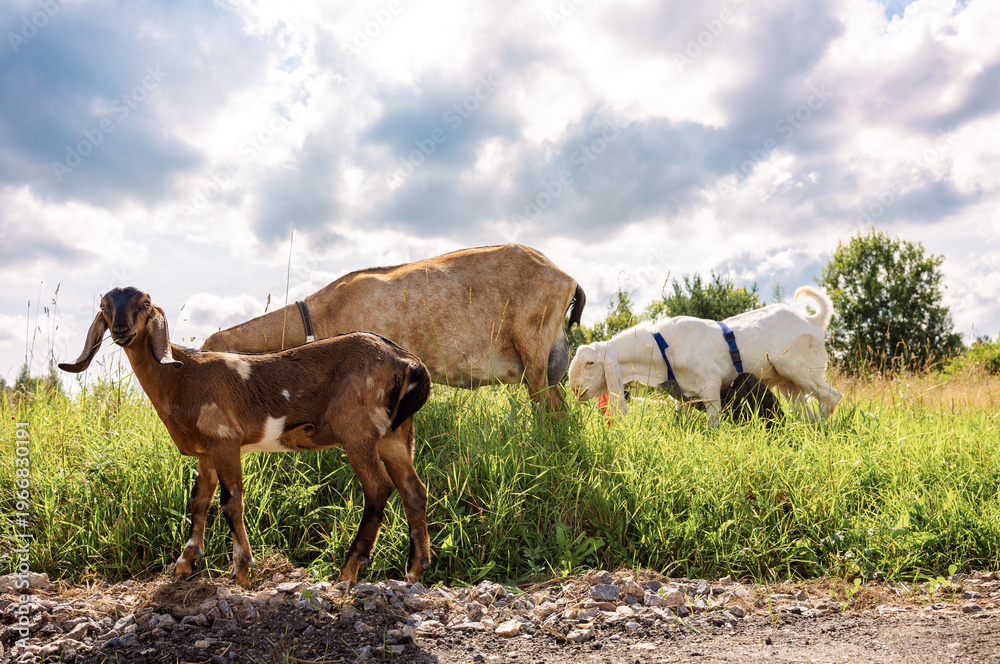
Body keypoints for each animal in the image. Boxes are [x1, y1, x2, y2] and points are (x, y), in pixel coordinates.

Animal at [59, 287, 432, 588]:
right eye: (105, 306)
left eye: (145, 304)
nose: (121, 330)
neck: (182, 376)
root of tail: (407, 361)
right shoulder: (206, 451)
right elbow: (199, 501)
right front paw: (185, 563)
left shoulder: (224, 440)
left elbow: (231, 501)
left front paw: (241, 570)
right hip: (395, 435)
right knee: (413, 491)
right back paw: (414, 572)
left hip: (357, 430)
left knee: (379, 489)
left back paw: (348, 571)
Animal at [568, 286, 842, 426]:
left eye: (590, 362)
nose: (575, 390)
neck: (661, 348)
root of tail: (813, 321)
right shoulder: (684, 398)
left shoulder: (710, 388)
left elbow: (712, 424)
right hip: (789, 383)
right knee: (805, 410)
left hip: (798, 368)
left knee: (833, 397)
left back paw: (823, 428)